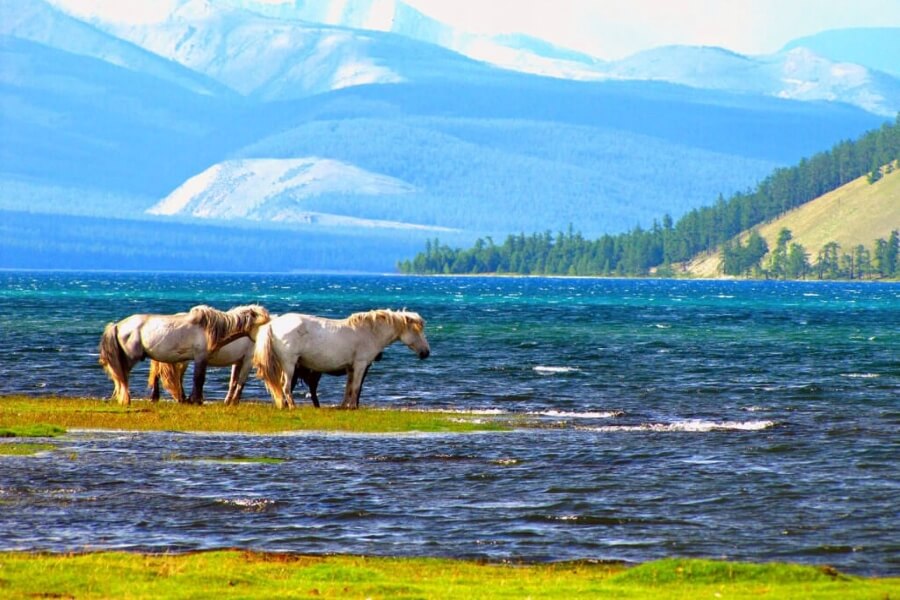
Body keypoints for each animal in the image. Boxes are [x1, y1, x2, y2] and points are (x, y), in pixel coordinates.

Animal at [98, 302, 268, 406]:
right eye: (261, 325)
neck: (210, 328)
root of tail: (117, 325)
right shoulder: (201, 357)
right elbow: (199, 379)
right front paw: (197, 400)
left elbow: (231, 381)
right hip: (130, 358)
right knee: (122, 376)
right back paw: (127, 399)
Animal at [255, 308, 430, 410]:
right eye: (416, 330)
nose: (426, 353)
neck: (369, 332)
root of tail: (272, 324)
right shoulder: (360, 365)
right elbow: (356, 387)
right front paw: (352, 407)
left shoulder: (351, 368)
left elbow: (349, 388)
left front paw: (344, 406)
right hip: (289, 364)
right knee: (285, 386)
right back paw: (292, 406)